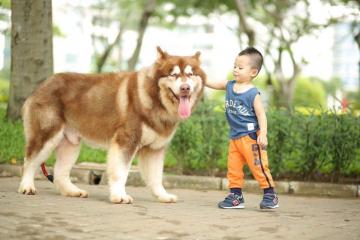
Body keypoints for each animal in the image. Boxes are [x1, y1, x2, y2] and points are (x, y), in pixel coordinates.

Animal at [18, 46, 207, 202]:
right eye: (173, 75)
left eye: (190, 74)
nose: (185, 88)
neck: (155, 100)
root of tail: (42, 85)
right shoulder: (126, 141)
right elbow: (121, 172)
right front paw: (119, 196)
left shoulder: (154, 149)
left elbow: (156, 177)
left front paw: (162, 196)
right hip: (46, 136)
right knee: (30, 161)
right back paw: (27, 186)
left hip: (70, 144)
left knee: (59, 172)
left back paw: (72, 191)